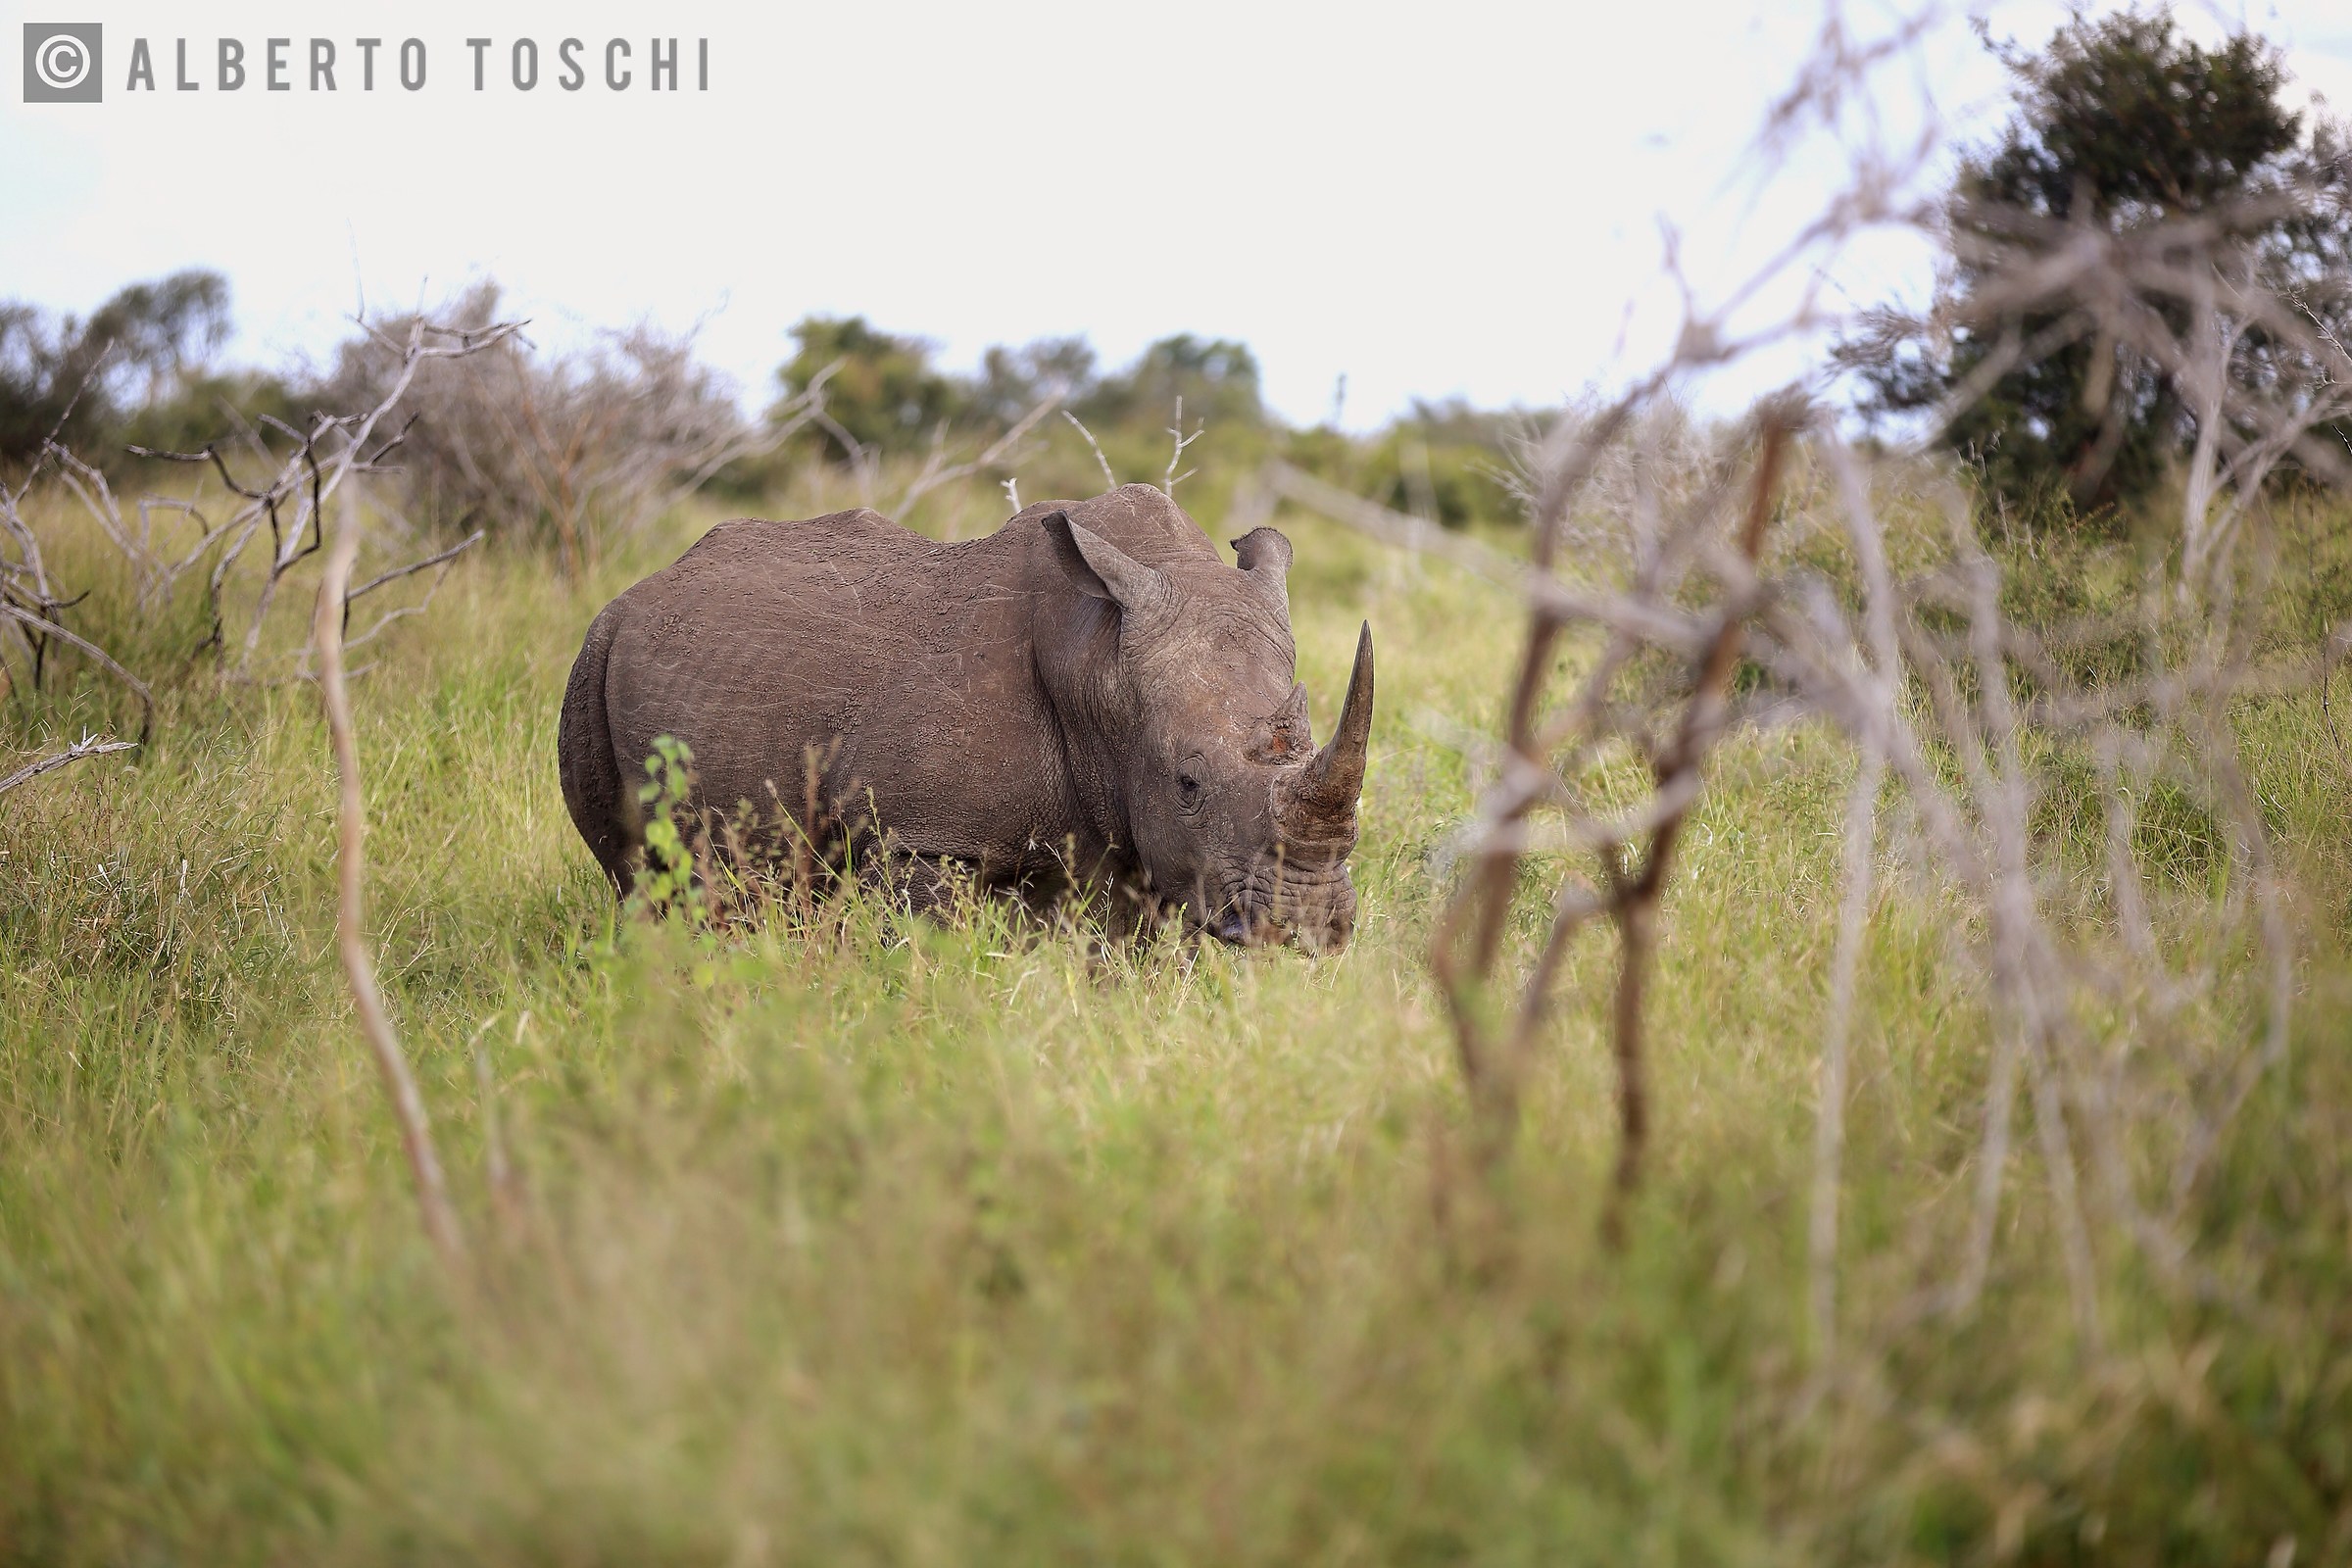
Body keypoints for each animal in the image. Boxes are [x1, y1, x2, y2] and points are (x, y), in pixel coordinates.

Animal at [556, 484, 1374, 949]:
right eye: (1188, 783)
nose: (1307, 929)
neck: (1099, 664)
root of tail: (639, 590)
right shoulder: (924, 833)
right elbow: (927, 947)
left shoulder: (1137, 841)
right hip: (592, 657)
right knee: (632, 871)